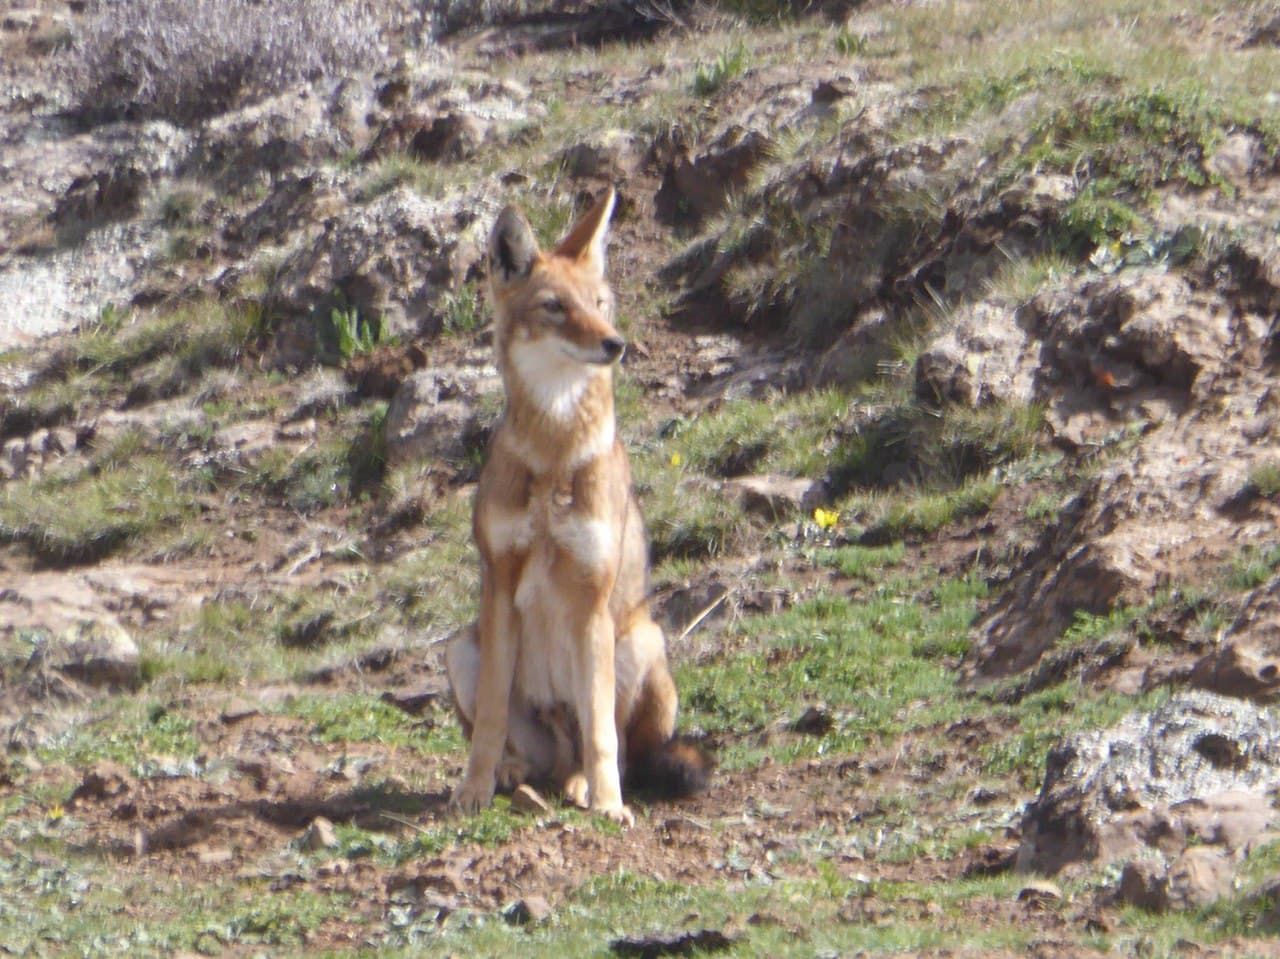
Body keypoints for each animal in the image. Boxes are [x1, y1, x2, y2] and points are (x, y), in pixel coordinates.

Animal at [445, 187, 711, 826]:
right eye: (554, 308)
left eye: (599, 303)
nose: (615, 343)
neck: (552, 456)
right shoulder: (500, 585)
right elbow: (489, 721)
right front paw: (472, 790)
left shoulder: (592, 597)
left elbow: (600, 731)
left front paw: (610, 805)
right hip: (460, 646)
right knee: (526, 748)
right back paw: (515, 773)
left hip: (639, 637)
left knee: (612, 747)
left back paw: (586, 786)